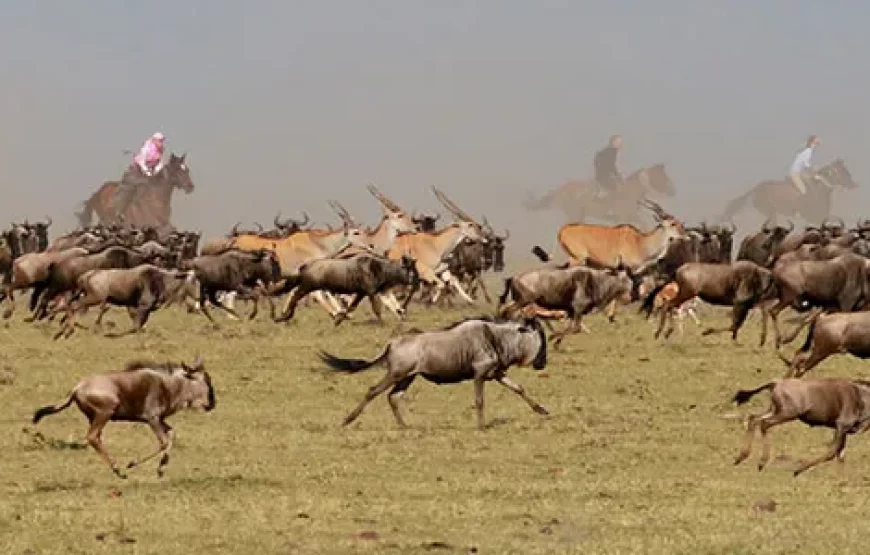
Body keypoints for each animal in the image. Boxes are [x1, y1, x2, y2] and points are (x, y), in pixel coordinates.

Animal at [32, 358, 216, 480]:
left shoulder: (159, 419)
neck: (169, 385)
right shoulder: (152, 418)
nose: (211, 404)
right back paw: (119, 470)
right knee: (92, 437)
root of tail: (76, 388)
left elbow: (172, 434)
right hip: (105, 413)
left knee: (96, 438)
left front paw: (161, 469)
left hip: (95, 417)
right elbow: (163, 442)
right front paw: (132, 463)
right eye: (204, 380)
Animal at [320, 318, 552, 430]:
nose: (542, 364)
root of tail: (392, 342)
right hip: (396, 374)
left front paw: (542, 410)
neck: (496, 338)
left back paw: (404, 426)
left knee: (393, 397)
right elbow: (479, 400)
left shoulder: (496, 373)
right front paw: (481, 426)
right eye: (541, 337)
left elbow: (519, 389)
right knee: (373, 391)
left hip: (407, 377)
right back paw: (347, 420)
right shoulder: (479, 374)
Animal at [520, 163, 676, 226]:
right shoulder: (625, 217)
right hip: (574, 214)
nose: (672, 190)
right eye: (662, 176)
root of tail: (561, 189)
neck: (631, 191)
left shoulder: (632, 217)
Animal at [724, 157, 860, 225]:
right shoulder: (813, 217)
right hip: (769, 211)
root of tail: (755, 189)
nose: (854, 185)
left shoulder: (821, 216)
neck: (819, 190)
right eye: (843, 171)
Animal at [732, 378, 870, 478]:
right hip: (786, 414)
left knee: (753, 419)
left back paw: (741, 457)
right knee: (764, 423)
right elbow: (832, 452)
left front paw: (842, 479)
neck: (862, 396)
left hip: (775, 411)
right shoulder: (842, 425)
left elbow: (841, 455)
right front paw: (798, 470)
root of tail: (775, 383)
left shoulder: (844, 430)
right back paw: (761, 462)